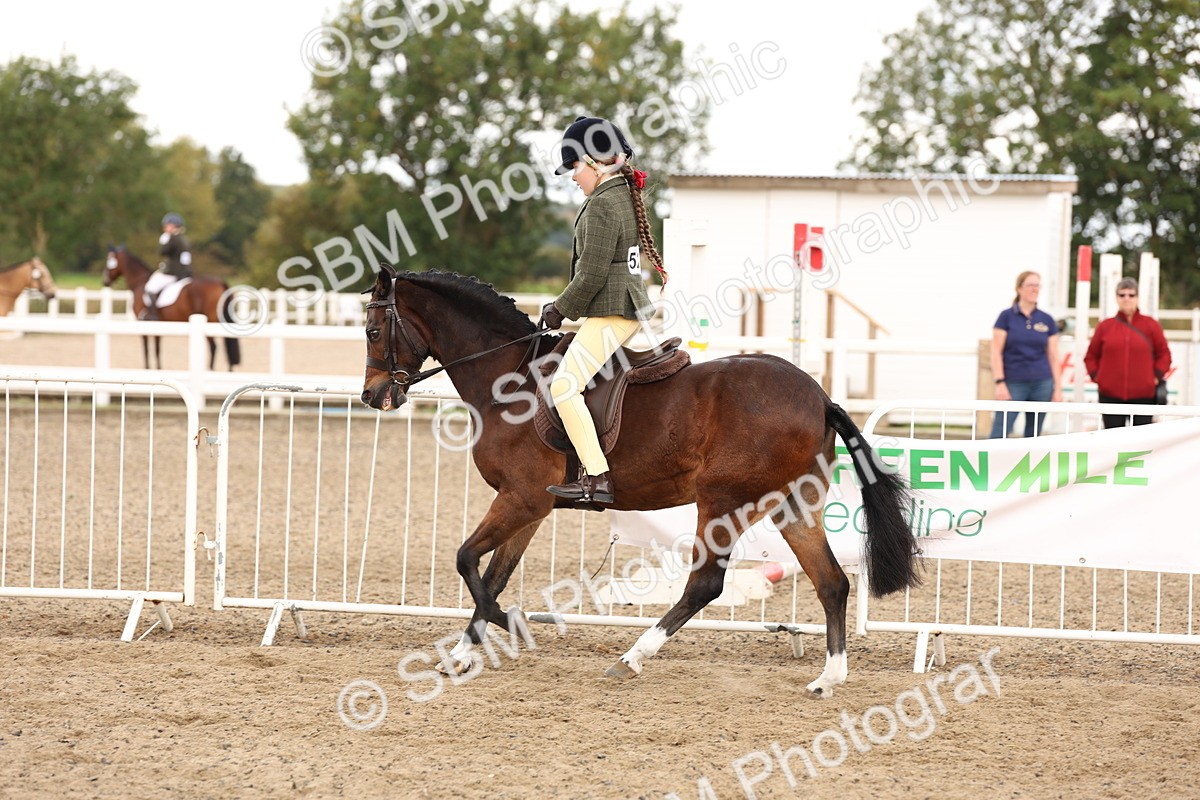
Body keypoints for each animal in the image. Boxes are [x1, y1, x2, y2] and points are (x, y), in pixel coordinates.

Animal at [102, 246, 241, 371]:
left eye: (109, 261)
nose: (105, 281)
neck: (140, 282)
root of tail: (220, 282)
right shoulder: (158, 325)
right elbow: (157, 349)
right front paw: (158, 369)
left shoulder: (143, 325)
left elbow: (147, 349)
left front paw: (147, 368)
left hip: (210, 320)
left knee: (214, 347)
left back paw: (210, 370)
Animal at [360, 266, 921, 698]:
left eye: (372, 332)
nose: (371, 396)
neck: (507, 380)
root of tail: (818, 396)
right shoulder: (528, 507)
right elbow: (490, 576)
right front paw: (461, 655)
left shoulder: (521, 499)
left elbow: (466, 562)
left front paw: (514, 624)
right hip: (792, 505)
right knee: (832, 582)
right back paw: (829, 678)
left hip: (722, 501)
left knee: (705, 584)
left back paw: (631, 657)